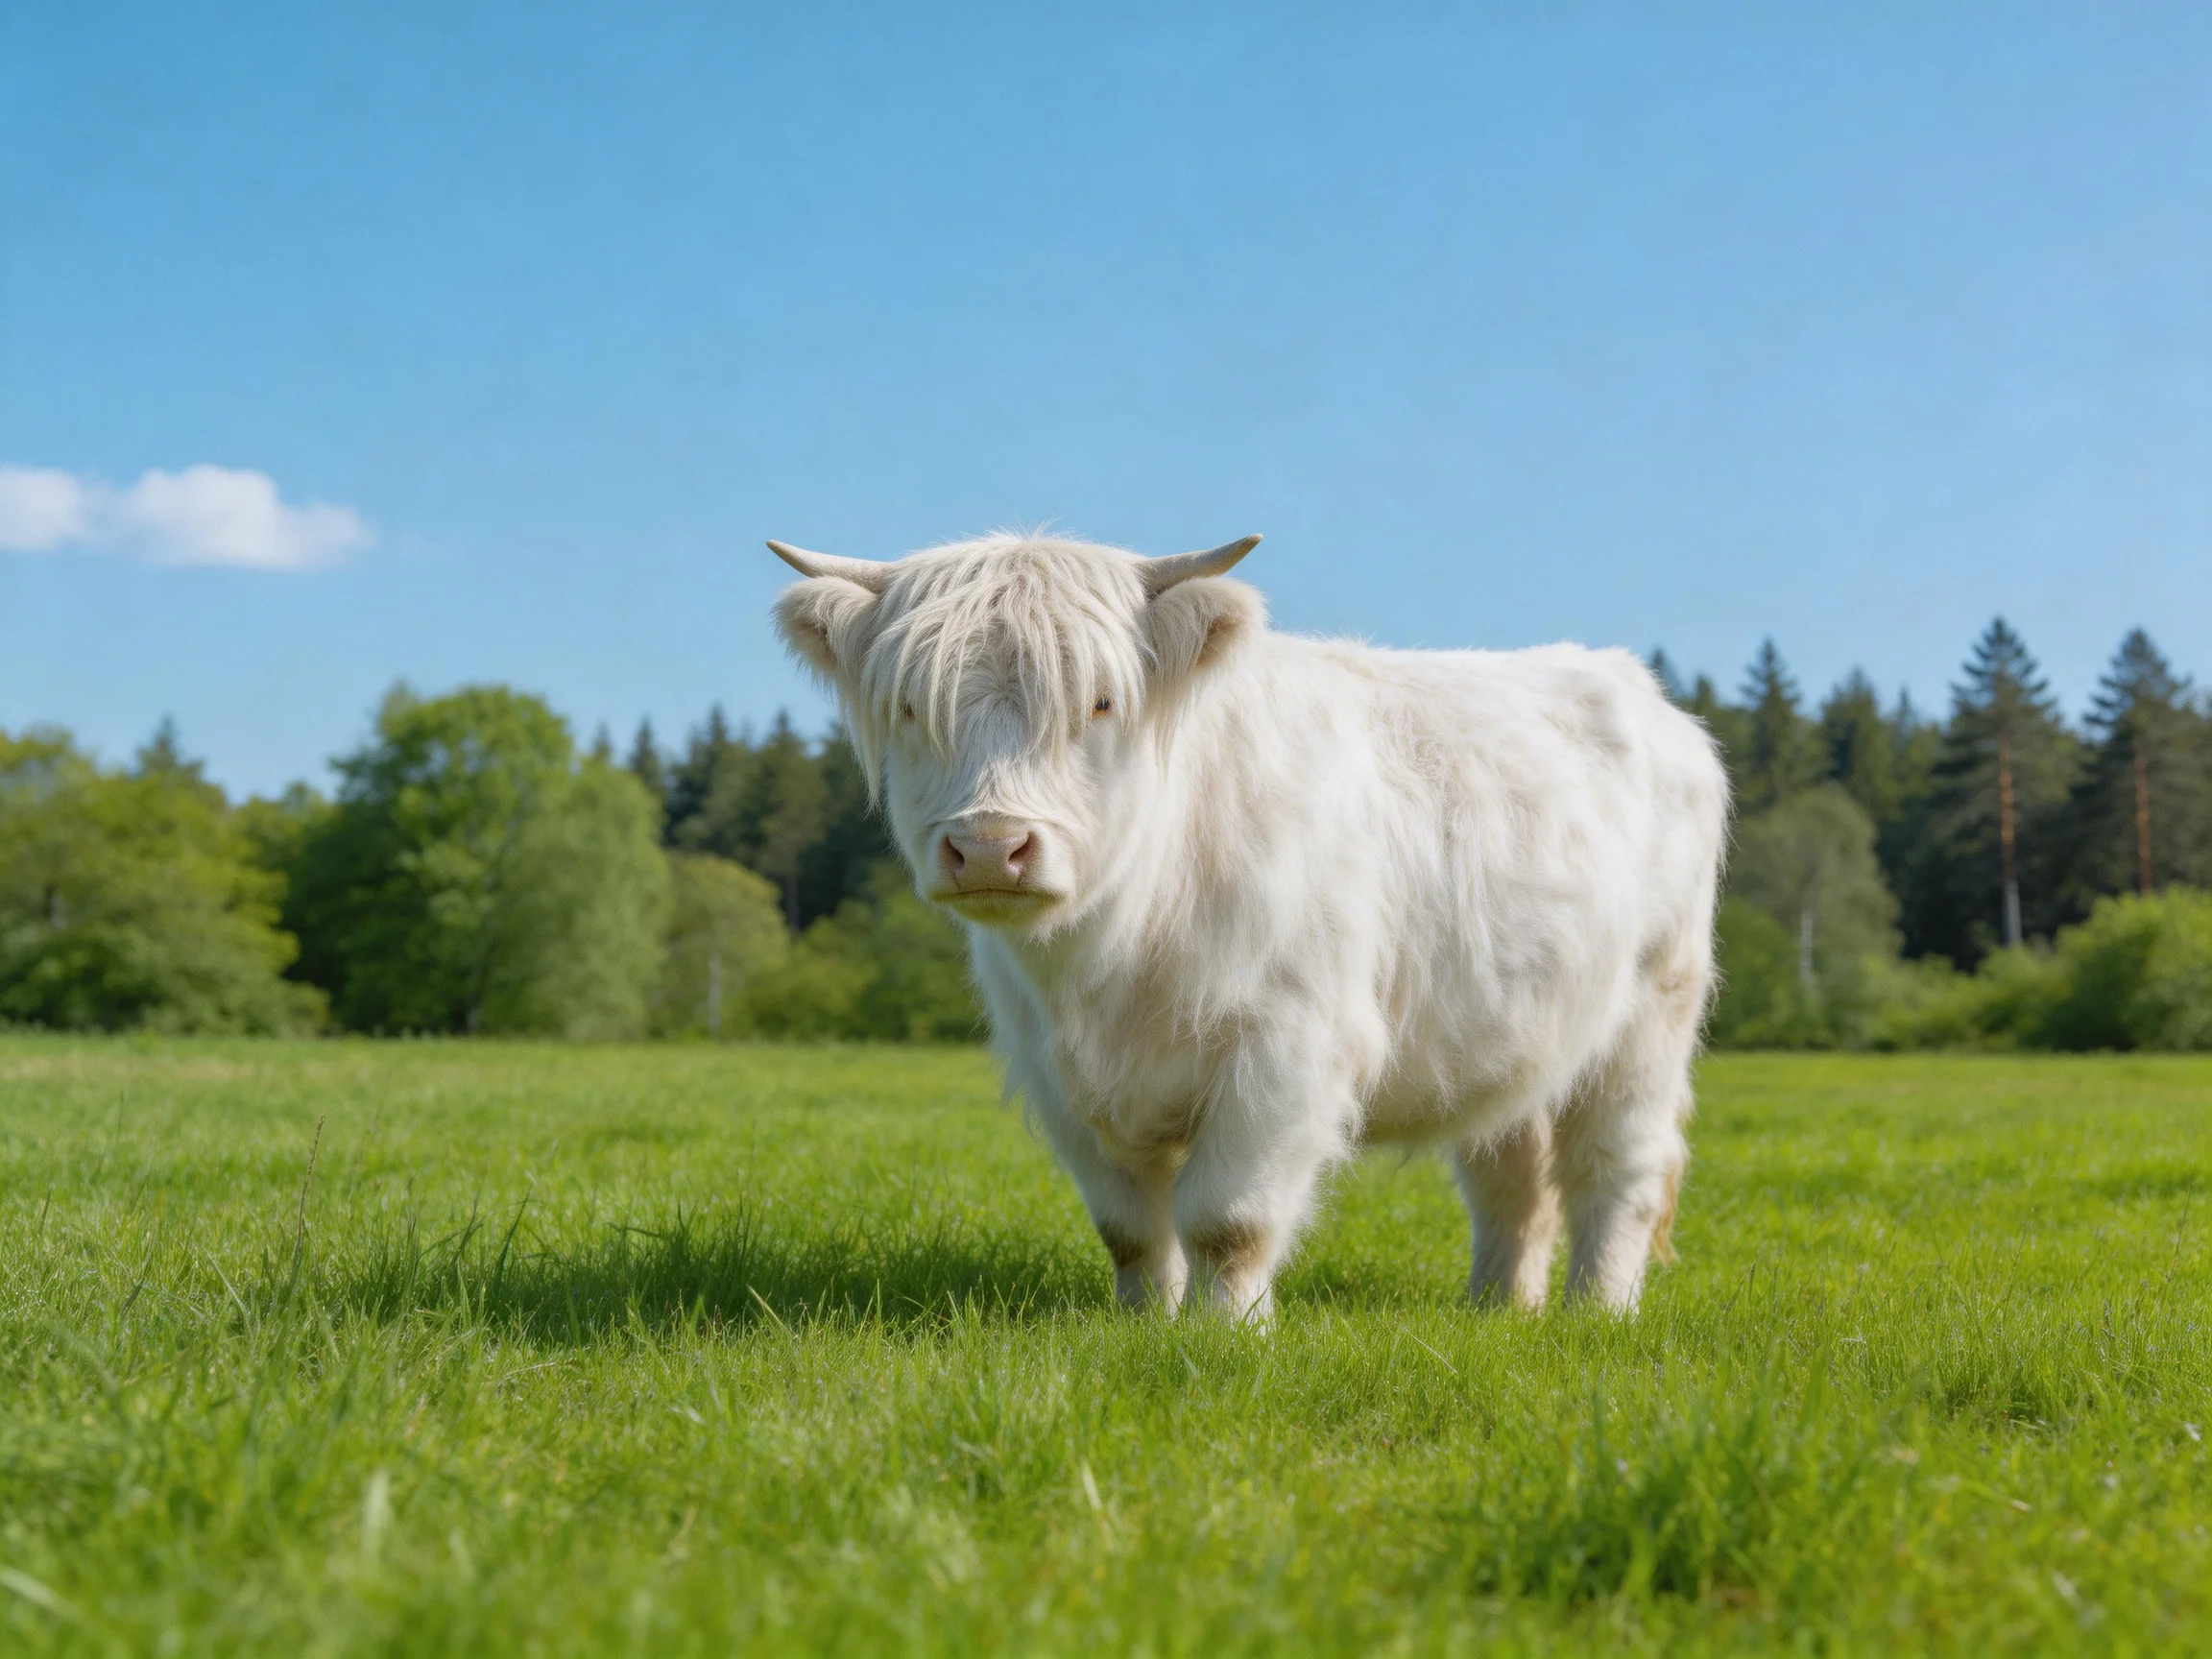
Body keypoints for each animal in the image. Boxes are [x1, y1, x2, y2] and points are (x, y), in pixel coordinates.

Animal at [769, 532, 1728, 1323]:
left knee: (1617, 1171)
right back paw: (1498, 1310)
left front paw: (1227, 1333)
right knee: (1510, 1178)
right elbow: (1129, 1227)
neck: (1112, 961)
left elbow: (1226, 1220)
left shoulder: (1286, 1049)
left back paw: (1597, 1312)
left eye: (1102, 704)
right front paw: (1141, 1326)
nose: (989, 846)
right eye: (909, 707)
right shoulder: (1058, 1074)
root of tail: (1630, 684)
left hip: (1649, 1020)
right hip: (1516, 1039)